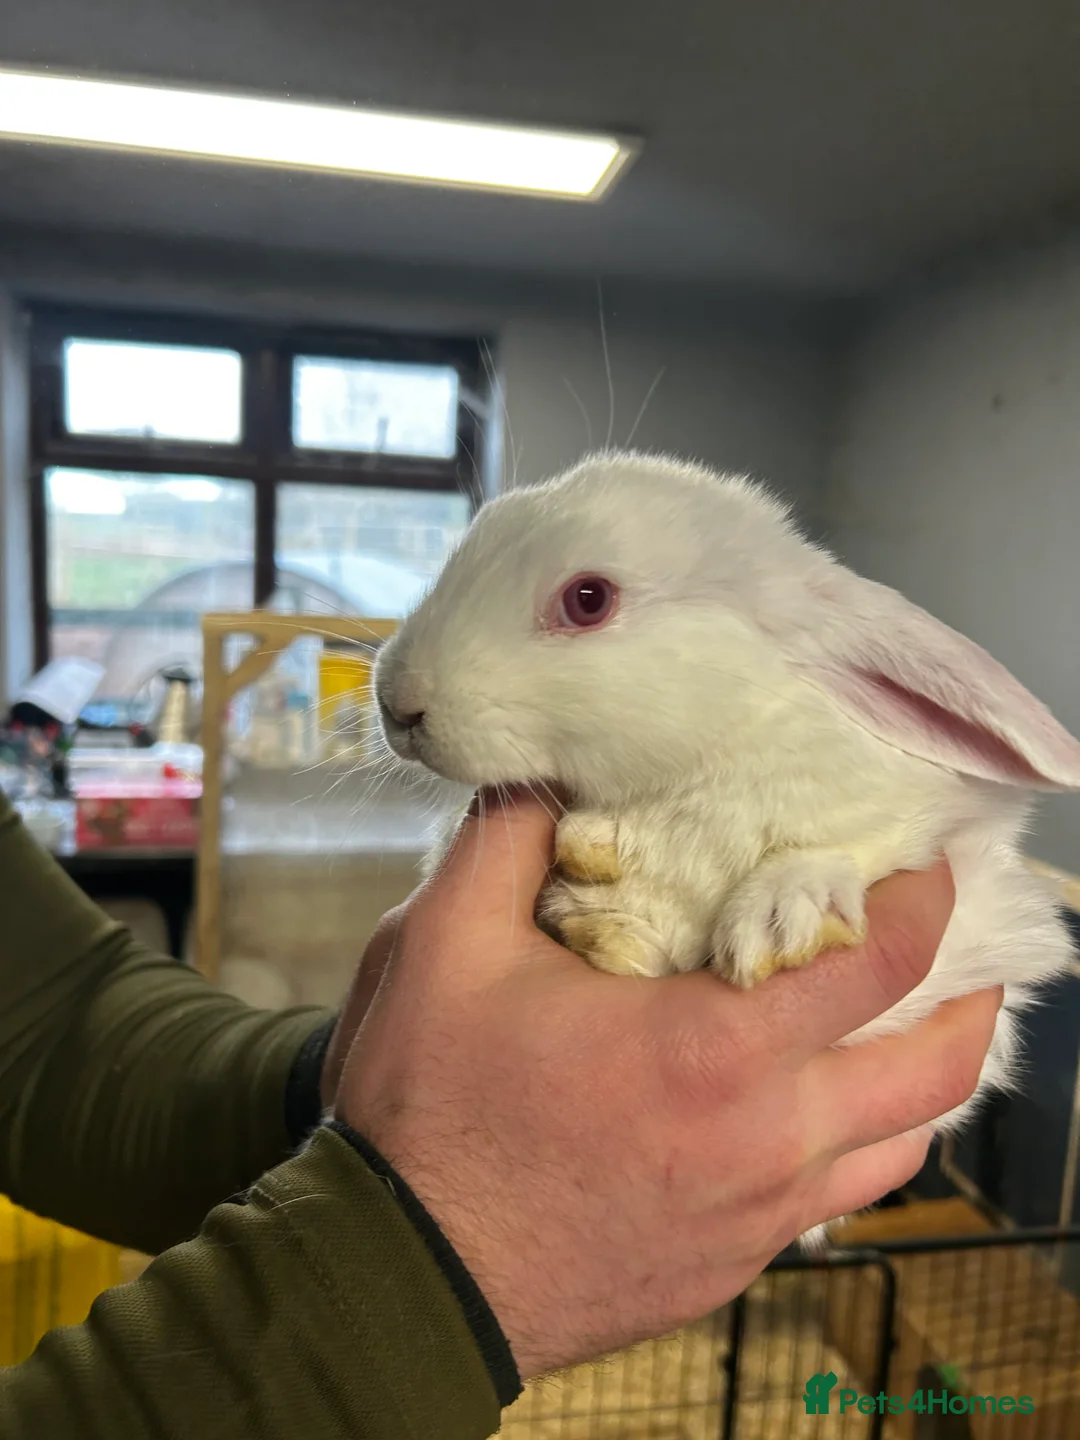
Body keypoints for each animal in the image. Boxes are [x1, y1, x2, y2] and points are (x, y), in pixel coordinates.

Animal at [373, 449, 1080, 1204]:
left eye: (589, 598)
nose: (398, 704)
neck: (711, 756)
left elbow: (865, 847)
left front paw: (779, 920)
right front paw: (596, 894)